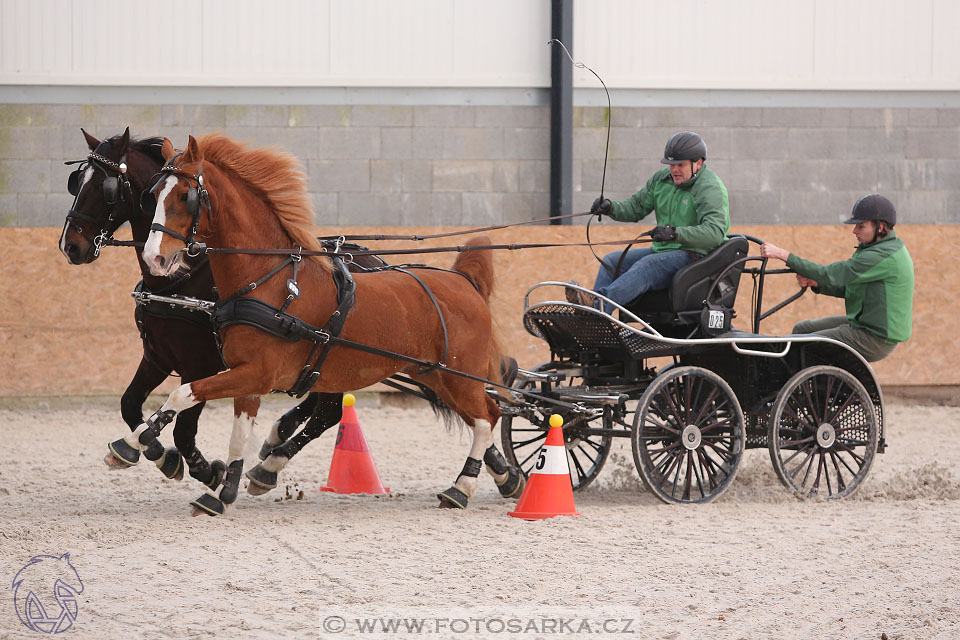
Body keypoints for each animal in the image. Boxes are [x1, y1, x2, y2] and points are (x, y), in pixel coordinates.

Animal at [118, 134, 524, 516]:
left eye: (185, 196)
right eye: (151, 195)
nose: (154, 258)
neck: (270, 281)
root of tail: (464, 281)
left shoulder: (252, 373)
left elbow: (182, 394)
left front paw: (134, 444)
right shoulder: (245, 375)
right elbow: (235, 434)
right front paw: (221, 493)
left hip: (459, 376)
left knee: (487, 418)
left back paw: (462, 487)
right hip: (437, 375)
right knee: (487, 415)